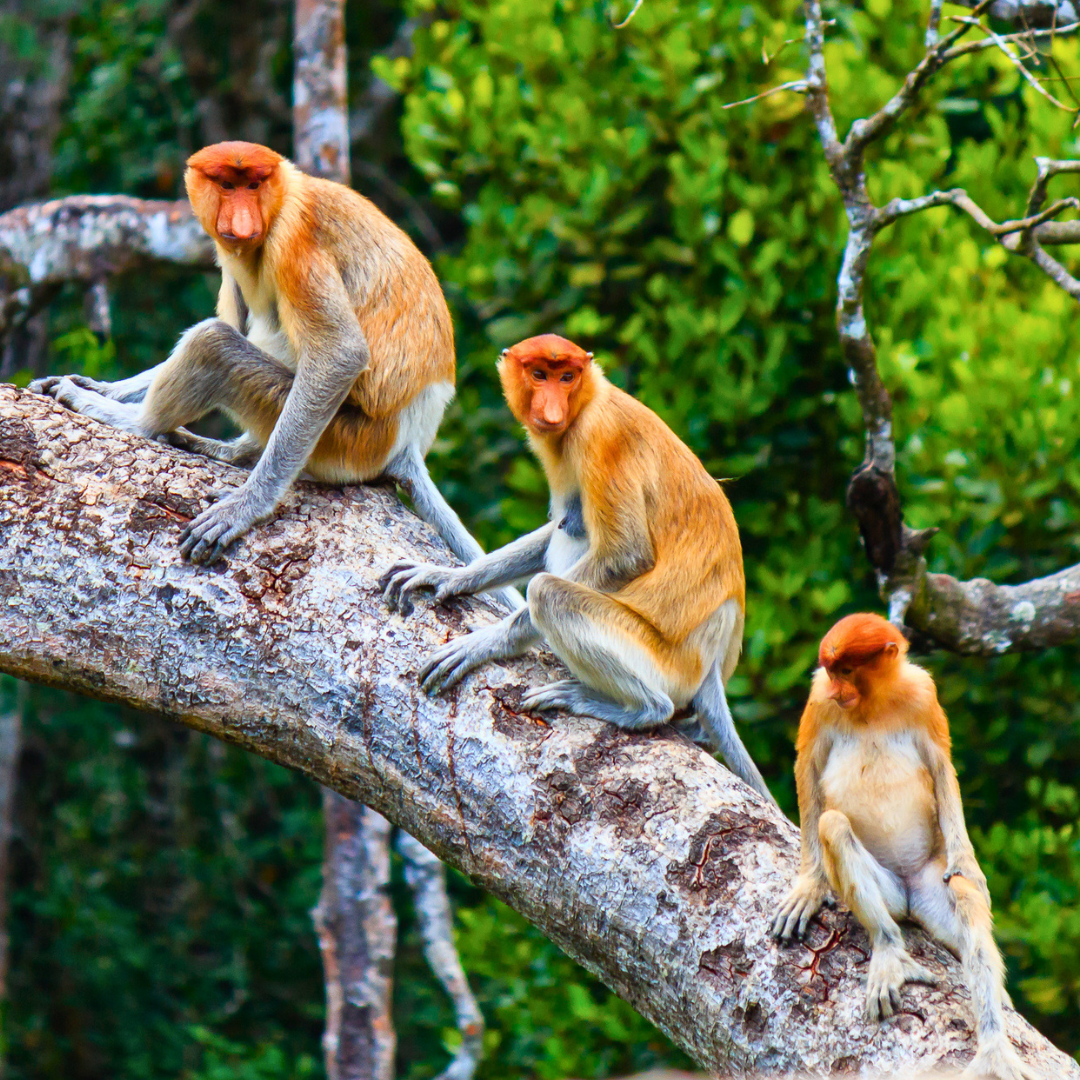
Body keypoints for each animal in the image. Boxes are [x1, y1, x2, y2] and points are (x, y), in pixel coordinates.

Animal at [29, 141, 518, 607]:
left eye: (253, 185)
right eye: (227, 185)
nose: (243, 222)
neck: (282, 197)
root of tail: (409, 439)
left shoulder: (292, 243)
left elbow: (340, 354)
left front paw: (244, 509)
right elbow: (235, 314)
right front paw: (100, 385)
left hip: (348, 439)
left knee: (215, 343)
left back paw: (135, 423)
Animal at [379, 333, 776, 806]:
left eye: (567, 377)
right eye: (539, 374)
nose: (553, 409)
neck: (589, 401)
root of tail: (712, 658)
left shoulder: (599, 439)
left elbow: (625, 555)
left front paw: (484, 644)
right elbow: (554, 528)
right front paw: (448, 576)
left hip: (661, 658)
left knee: (551, 591)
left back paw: (633, 707)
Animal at [771, 613, 1037, 1080]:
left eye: (847, 671)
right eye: (832, 673)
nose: (838, 691)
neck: (872, 702)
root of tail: (911, 895)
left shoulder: (922, 694)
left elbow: (941, 765)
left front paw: (969, 864)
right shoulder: (819, 702)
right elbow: (808, 765)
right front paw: (809, 887)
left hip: (930, 883)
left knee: (962, 893)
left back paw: (993, 1047)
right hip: (891, 894)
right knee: (833, 825)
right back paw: (889, 951)